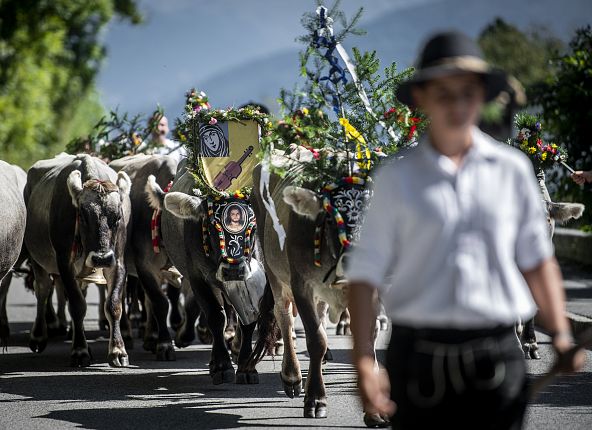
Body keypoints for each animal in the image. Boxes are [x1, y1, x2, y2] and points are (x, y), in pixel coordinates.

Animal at [25, 155, 131, 366]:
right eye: (82, 215)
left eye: (117, 217)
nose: (101, 258)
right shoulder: (63, 264)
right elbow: (76, 305)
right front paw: (80, 350)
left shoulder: (118, 260)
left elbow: (113, 304)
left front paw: (118, 349)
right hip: (36, 259)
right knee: (43, 290)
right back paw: (39, 336)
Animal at [147, 160, 278, 384]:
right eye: (211, 226)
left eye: (252, 227)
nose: (233, 270)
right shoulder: (197, 277)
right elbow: (215, 316)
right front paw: (221, 365)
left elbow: (248, 321)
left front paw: (246, 366)